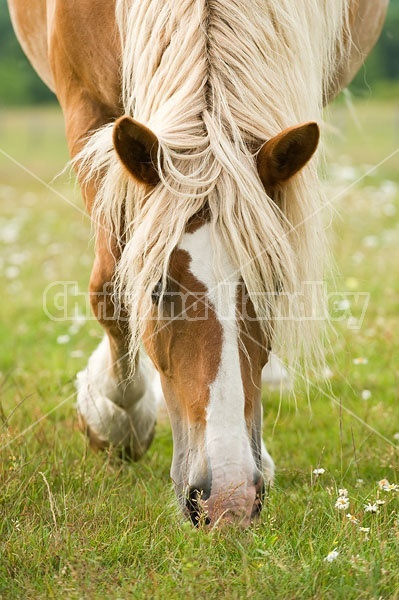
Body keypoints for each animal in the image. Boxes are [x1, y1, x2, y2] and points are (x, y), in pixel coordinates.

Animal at [8, 0, 388, 524]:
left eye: (275, 286)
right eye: (157, 291)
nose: (229, 501)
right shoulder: (85, 103)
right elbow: (111, 289)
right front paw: (117, 419)